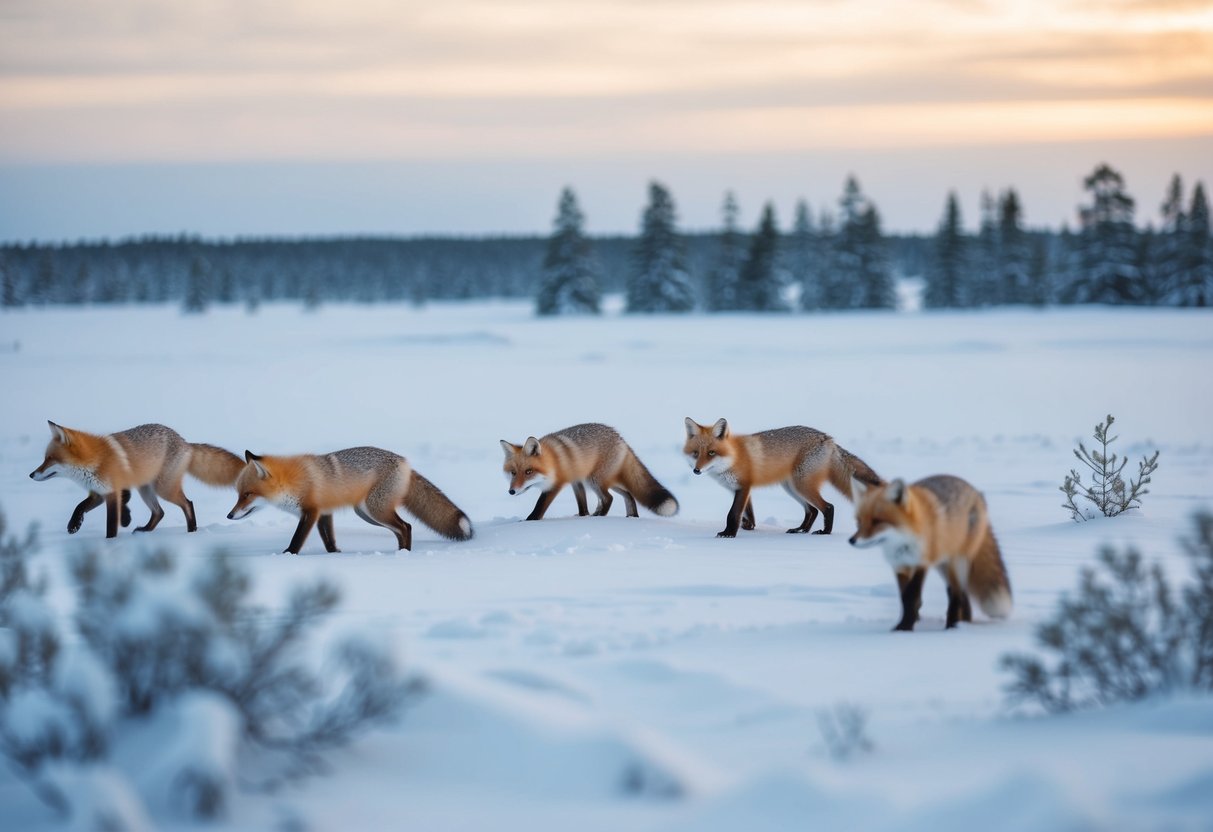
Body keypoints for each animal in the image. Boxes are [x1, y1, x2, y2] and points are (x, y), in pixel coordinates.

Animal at [29, 421, 243, 538]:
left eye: (49, 459)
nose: (31, 475)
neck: (94, 461)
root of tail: (185, 442)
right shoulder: (100, 493)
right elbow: (79, 507)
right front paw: (74, 525)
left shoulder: (112, 494)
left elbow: (111, 524)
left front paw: (110, 543)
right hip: (145, 489)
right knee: (159, 512)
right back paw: (145, 531)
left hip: (163, 489)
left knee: (187, 504)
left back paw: (192, 533)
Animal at [226, 447, 473, 554]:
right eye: (238, 494)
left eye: (247, 495)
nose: (229, 515)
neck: (294, 482)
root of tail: (405, 461)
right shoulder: (324, 512)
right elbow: (328, 540)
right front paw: (335, 555)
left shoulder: (310, 512)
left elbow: (297, 539)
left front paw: (287, 555)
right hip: (367, 514)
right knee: (402, 529)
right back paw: (400, 553)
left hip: (374, 510)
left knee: (406, 526)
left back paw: (403, 555)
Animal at [500, 423, 678, 521]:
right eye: (513, 472)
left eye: (528, 471)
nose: (511, 491)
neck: (553, 461)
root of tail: (620, 438)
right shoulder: (576, 481)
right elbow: (582, 503)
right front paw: (583, 516)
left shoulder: (556, 485)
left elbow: (540, 506)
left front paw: (530, 521)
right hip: (600, 481)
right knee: (627, 494)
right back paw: (630, 517)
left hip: (595, 481)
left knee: (609, 498)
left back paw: (600, 517)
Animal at [683, 418, 881, 538]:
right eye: (695, 453)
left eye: (711, 453)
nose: (696, 470)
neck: (733, 459)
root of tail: (828, 438)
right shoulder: (741, 490)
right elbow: (749, 514)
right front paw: (749, 527)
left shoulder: (743, 486)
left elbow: (733, 514)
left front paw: (729, 533)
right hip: (792, 488)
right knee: (812, 510)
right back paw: (801, 529)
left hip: (801, 485)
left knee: (828, 507)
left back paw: (825, 532)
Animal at [848, 475, 1013, 631]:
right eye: (859, 522)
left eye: (877, 521)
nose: (851, 540)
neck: (903, 545)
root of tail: (976, 492)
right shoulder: (900, 566)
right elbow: (904, 597)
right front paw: (907, 623)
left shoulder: (922, 562)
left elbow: (911, 596)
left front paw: (904, 628)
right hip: (943, 565)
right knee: (961, 593)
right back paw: (963, 623)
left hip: (956, 562)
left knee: (957, 594)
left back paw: (952, 627)